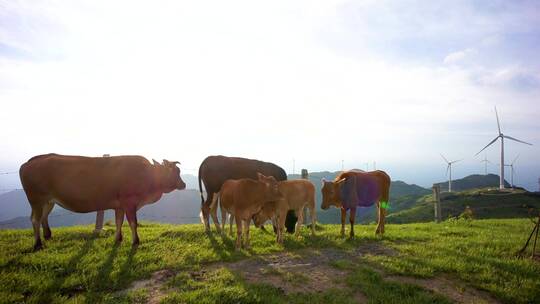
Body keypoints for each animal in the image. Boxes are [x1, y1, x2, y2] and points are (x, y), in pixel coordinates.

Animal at [19, 153, 186, 251]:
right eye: (175, 171)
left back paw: (47, 235)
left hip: (48, 201)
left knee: (43, 217)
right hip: (36, 199)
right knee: (35, 219)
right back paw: (38, 243)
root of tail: (30, 161)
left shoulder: (120, 206)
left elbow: (119, 222)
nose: (183, 184)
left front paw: (118, 239)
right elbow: (133, 223)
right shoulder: (130, 202)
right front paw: (135, 241)